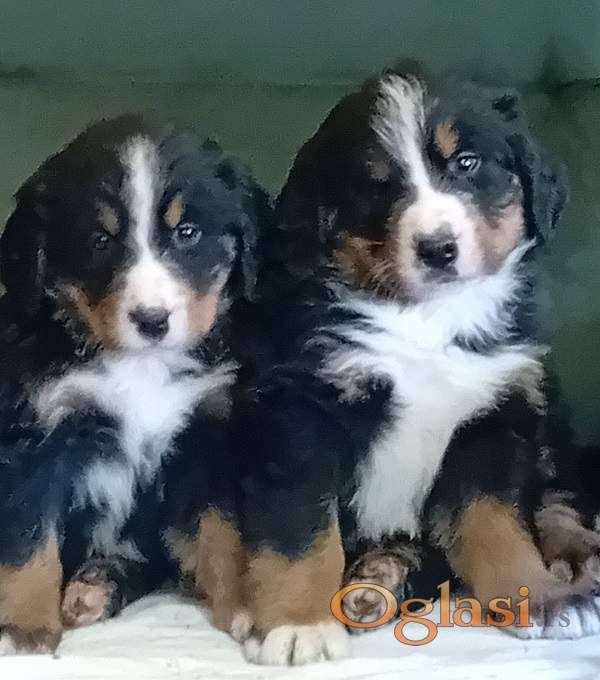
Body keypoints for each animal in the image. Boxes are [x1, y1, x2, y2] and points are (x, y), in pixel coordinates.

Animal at [0, 115, 268, 653]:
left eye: (188, 232)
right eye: (100, 241)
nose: (152, 320)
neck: (141, 367)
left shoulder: (205, 438)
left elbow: (222, 530)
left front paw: (247, 601)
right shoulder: (39, 434)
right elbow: (29, 538)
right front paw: (23, 631)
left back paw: (97, 584)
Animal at [230, 71, 600, 665]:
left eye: (468, 163)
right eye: (377, 185)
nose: (437, 248)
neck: (428, 321)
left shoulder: (491, 419)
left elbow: (497, 523)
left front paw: (536, 596)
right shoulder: (301, 413)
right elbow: (302, 529)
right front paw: (298, 622)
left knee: (559, 499)